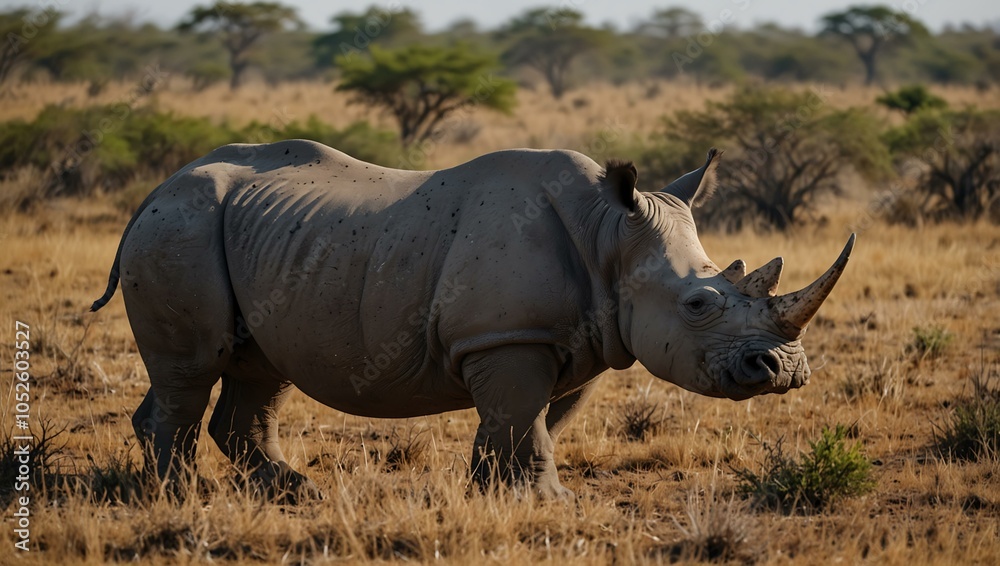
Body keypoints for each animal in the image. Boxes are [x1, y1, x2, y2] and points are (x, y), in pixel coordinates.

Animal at [91, 140, 854, 500]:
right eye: (699, 305)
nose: (784, 370)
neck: (609, 234)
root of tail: (153, 193)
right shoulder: (507, 337)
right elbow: (525, 419)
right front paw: (551, 503)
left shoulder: (572, 336)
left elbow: (529, 420)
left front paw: (493, 493)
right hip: (181, 229)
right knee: (193, 371)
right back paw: (180, 497)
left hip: (264, 241)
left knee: (259, 367)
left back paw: (293, 491)